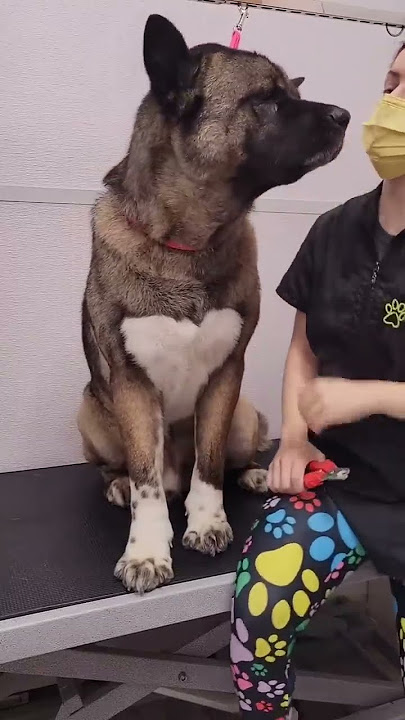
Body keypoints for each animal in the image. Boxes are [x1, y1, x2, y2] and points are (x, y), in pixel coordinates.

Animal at [77, 14, 348, 592]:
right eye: (267, 99)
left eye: (294, 93)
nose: (344, 115)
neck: (187, 244)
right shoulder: (132, 387)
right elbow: (147, 483)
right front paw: (147, 550)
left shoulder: (227, 377)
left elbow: (210, 463)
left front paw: (206, 521)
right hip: (91, 411)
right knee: (129, 471)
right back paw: (117, 485)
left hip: (246, 413)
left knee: (224, 459)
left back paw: (254, 473)